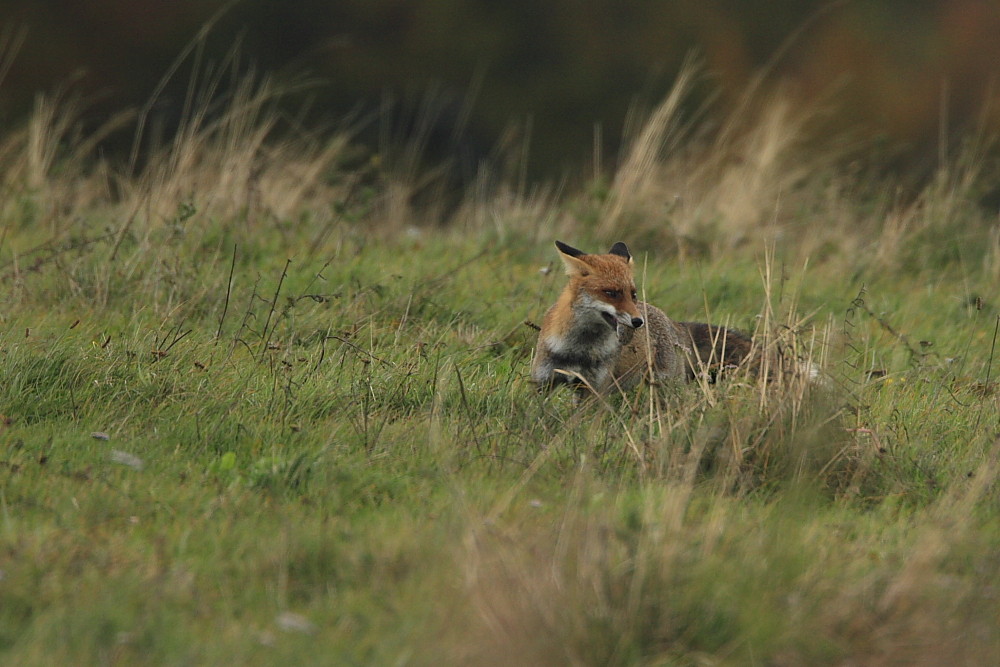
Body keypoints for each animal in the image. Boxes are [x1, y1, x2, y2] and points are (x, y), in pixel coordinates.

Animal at [528, 241, 752, 394]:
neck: (579, 349)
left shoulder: (593, 389)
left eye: (632, 294)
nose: (638, 321)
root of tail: (670, 320)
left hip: (666, 386)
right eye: (611, 293)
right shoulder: (542, 382)